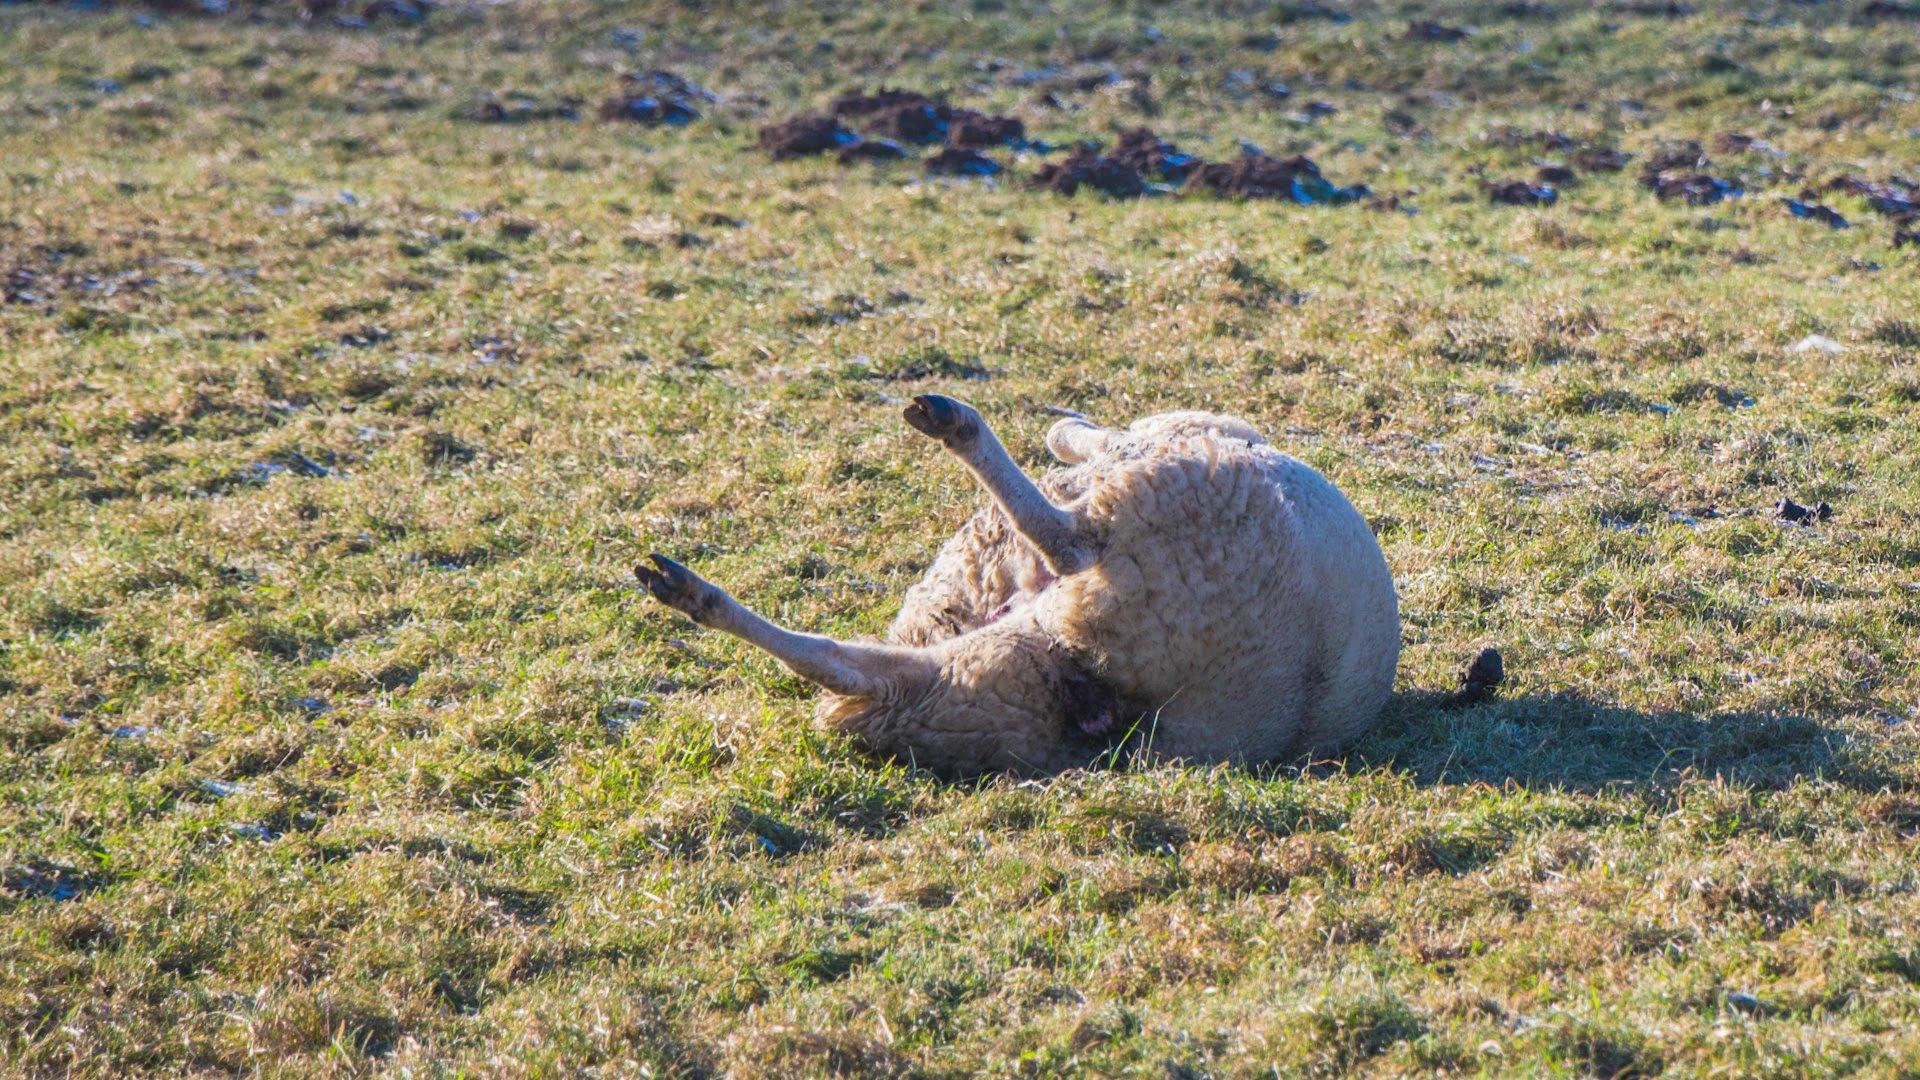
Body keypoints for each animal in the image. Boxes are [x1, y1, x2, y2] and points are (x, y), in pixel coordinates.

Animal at [637, 395, 1405, 772]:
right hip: (1004, 680)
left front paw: (1065, 434)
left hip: (1161, 536)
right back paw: (687, 593)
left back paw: (955, 423)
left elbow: (1077, 454)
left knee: (1066, 537)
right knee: (865, 673)